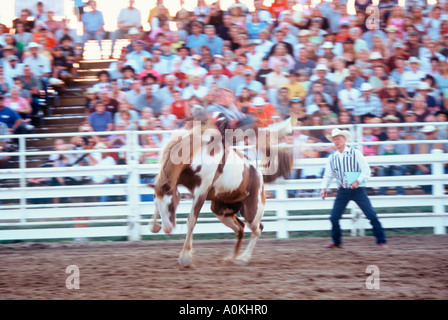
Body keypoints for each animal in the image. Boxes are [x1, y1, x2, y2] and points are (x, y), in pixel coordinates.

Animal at [148, 120, 294, 268]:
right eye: (159, 206)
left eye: (171, 206)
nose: (167, 229)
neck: (196, 151)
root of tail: (259, 174)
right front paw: (154, 226)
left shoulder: (201, 191)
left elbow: (191, 220)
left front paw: (185, 257)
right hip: (221, 210)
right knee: (240, 228)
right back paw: (232, 258)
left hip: (252, 212)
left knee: (257, 229)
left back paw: (243, 258)